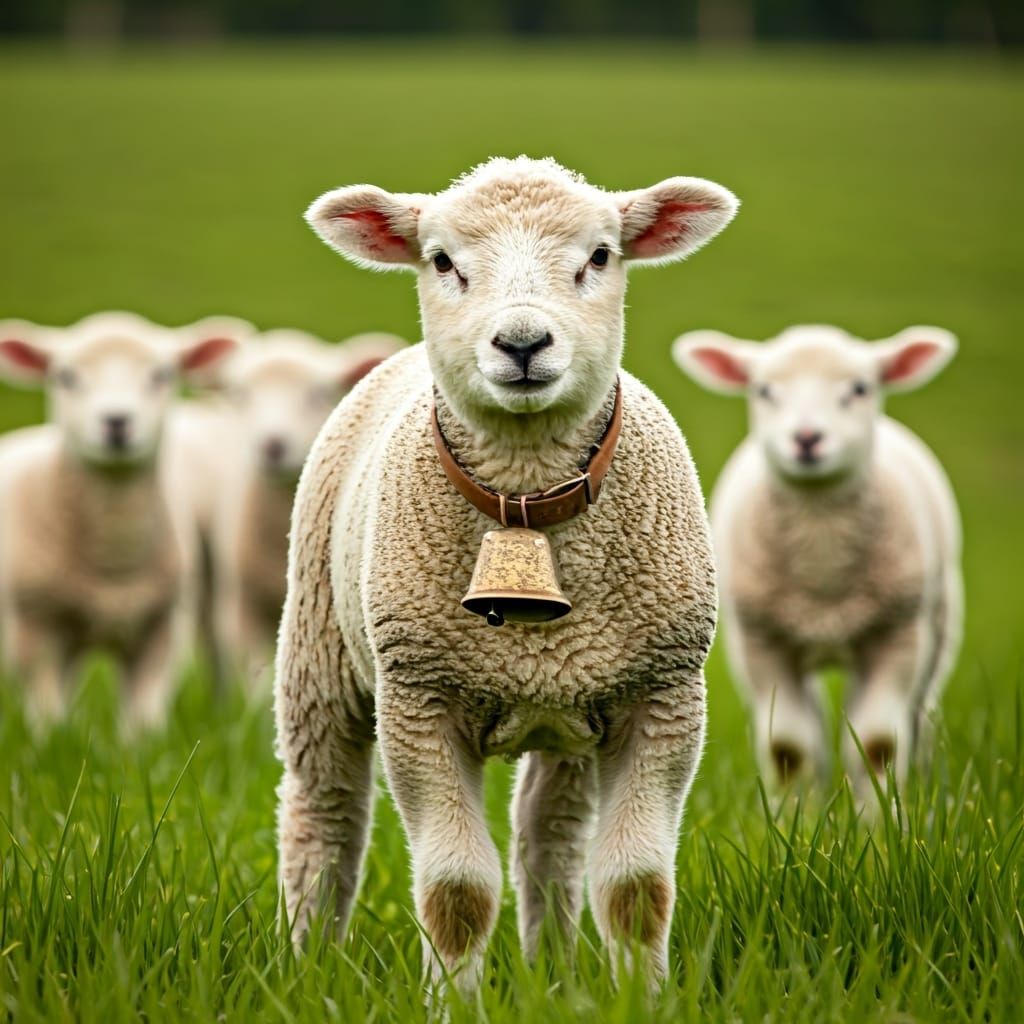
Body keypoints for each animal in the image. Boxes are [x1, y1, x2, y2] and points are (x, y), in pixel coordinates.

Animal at [0, 311, 240, 732]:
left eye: (162, 374)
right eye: (66, 376)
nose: (116, 421)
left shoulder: (161, 630)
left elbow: (142, 723)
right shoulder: (34, 629)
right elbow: (46, 715)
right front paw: (52, 740)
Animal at [275, 156, 738, 993]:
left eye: (600, 256)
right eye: (441, 261)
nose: (523, 343)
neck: (525, 498)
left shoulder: (661, 695)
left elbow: (635, 888)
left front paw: (642, 997)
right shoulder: (420, 701)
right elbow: (456, 893)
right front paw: (452, 1001)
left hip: (572, 705)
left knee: (548, 834)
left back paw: (553, 969)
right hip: (319, 652)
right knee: (323, 814)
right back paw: (307, 965)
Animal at [672, 324, 962, 797]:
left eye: (860, 388)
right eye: (764, 390)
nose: (807, 439)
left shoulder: (897, 633)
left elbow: (878, 743)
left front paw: (880, 812)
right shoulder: (763, 640)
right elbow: (788, 747)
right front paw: (796, 812)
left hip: (937, 622)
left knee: (920, 713)